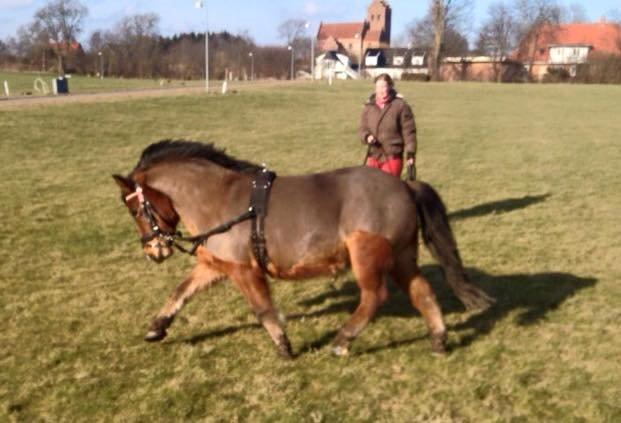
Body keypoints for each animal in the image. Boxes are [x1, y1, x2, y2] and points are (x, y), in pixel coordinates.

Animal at [110, 140, 490, 358]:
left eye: (135, 210)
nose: (152, 251)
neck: (217, 199)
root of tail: (405, 186)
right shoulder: (216, 266)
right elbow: (180, 293)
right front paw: (156, 327)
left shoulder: (245, 271)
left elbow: (263, 310)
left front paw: (284, 346)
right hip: (401, 256)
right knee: (422, 292)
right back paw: (438, 339)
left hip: (367, 255)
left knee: (374, 297)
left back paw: (342, 340)